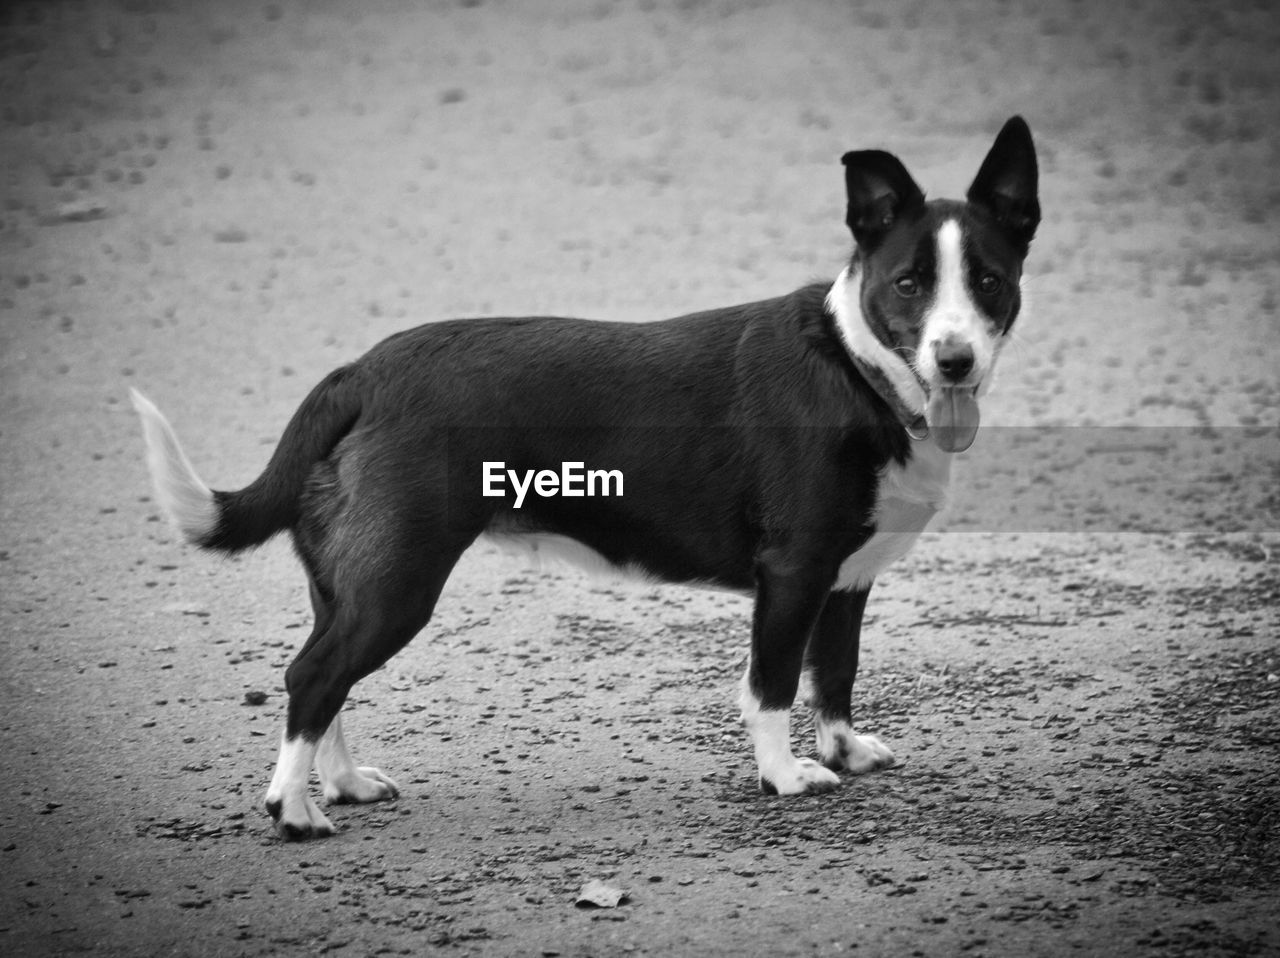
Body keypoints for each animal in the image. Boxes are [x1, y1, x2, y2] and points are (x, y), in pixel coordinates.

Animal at [132, 117, 1039, 840]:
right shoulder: (793, 574)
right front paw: (783, 776)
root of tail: (359, 374)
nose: (955, 360)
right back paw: (293, 811)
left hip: (351, 583)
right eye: (908, 284)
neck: (856, 368)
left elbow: (836, 672)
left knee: (328, 679)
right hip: (397, 583)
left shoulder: (844, 581)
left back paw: (344, 783)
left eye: (989, 281)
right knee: (313, 676)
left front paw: (844, 750)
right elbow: (774, 685)